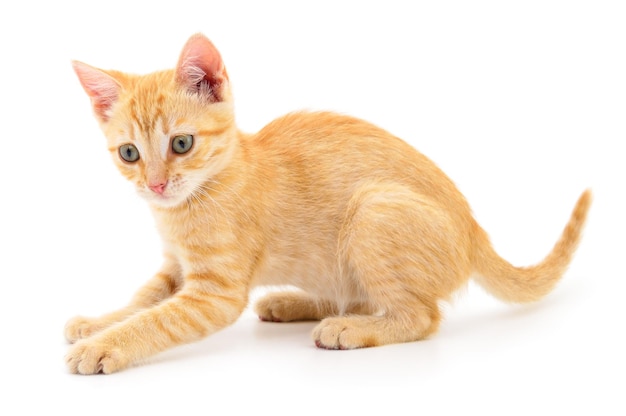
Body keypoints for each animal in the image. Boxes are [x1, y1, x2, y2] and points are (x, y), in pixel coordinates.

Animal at [64, 34, 588, 376]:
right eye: (129, 154)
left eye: (181, 144)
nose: (155, 186)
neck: (186, 207)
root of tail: (475, 231)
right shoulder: (175, 266)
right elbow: (143, 300)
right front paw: (98, 323)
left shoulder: (213, 293)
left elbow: (159, 318)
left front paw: (105, 345)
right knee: (360, 293)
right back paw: (295, 303)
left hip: (373, 209)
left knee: (421, 317)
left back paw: (350, 329)